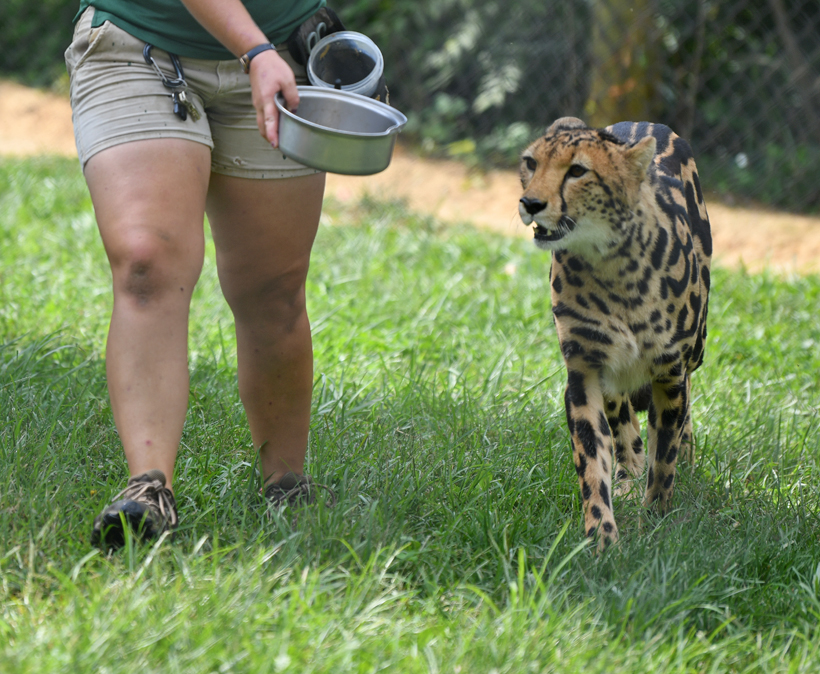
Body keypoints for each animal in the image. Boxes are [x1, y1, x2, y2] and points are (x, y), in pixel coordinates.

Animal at [518, 117, 712, 548]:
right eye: (530, 163)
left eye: (578, 171)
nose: (530, 203)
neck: (610, 264)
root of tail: (643, 121)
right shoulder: (585, 372)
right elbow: (592, 459)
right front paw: (601, 536)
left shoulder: (668, 371)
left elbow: (665, 456)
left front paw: (655, 518)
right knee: (623, 418)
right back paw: (627, 473)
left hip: (696, 349)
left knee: (685, 402)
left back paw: (685, 457)